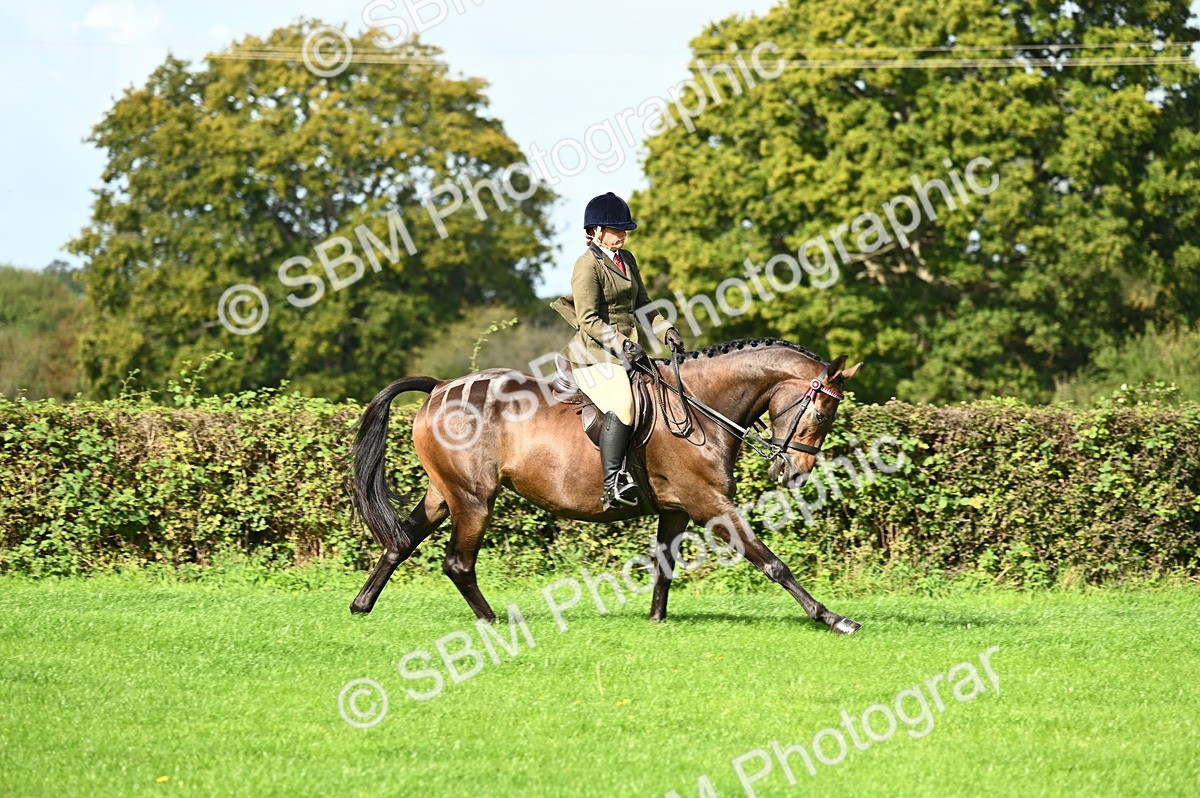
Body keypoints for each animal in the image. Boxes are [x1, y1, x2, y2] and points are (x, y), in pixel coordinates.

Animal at [349, 338, 864, 634]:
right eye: (823, 413)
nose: (796, 472)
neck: (700, 407)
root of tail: (441, 386)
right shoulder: (710, 505)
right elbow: (772, 563)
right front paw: (832, 618)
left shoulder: (676, 509)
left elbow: (664, 567)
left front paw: (656, 622)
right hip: (474, 499)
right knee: (457, 563)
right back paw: (495, 623)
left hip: (444, 495)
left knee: (401, 542)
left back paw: (360, 605)